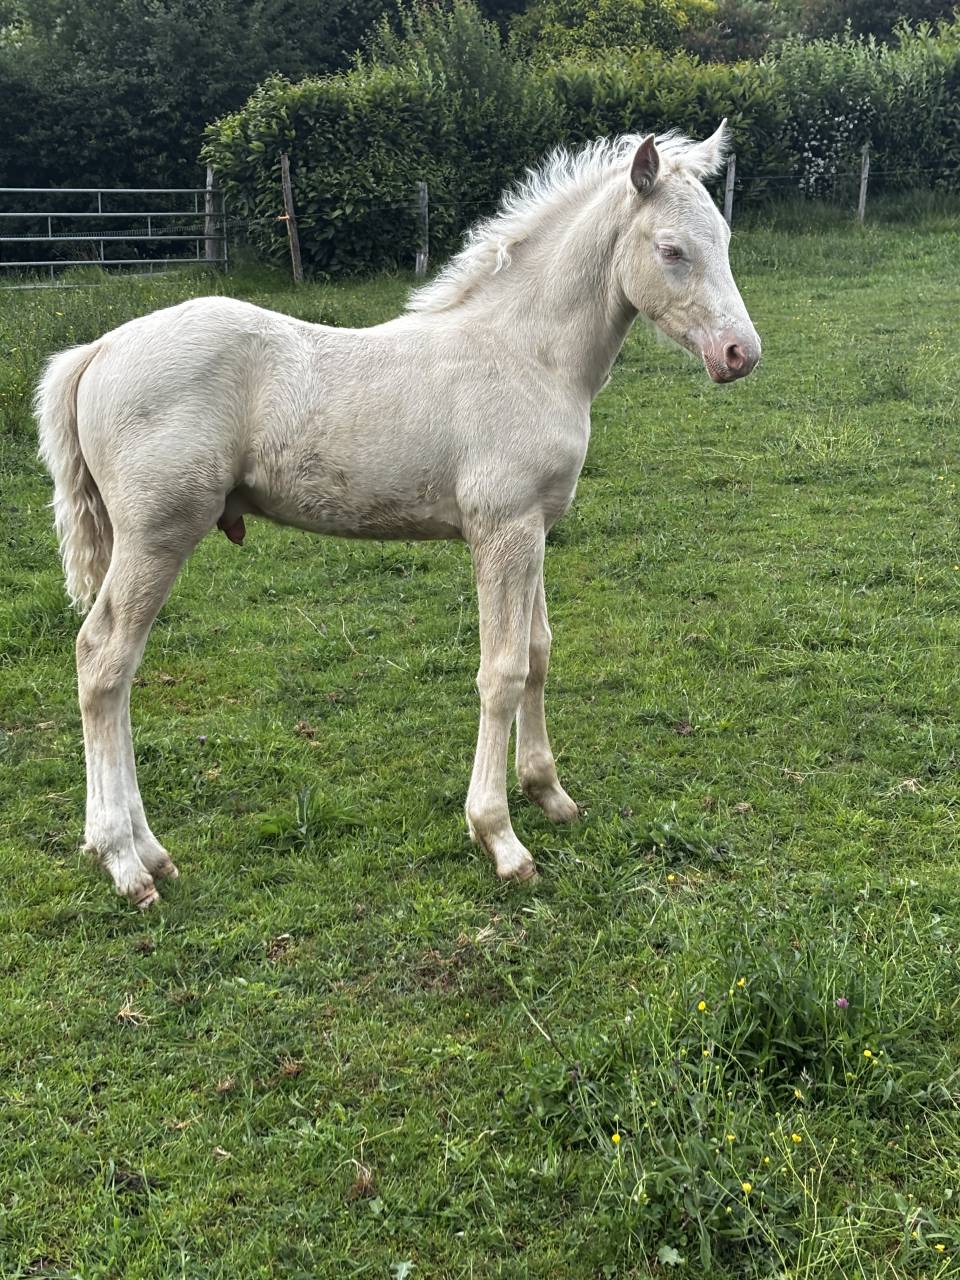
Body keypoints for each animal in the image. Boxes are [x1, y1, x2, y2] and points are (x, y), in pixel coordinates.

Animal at [36, 123, 760, 909]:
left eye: (723, 238)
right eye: (671, 250)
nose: (740, 354)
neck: (526, 353)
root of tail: (99, 349)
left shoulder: (535, 527)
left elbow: (538, 653)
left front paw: (549, 793)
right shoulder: (501, 531)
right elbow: (501, 670)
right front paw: (499, 836)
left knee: (115, 670)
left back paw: (143, 851)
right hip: (157, 536)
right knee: (103, 661)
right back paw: (125, 862)